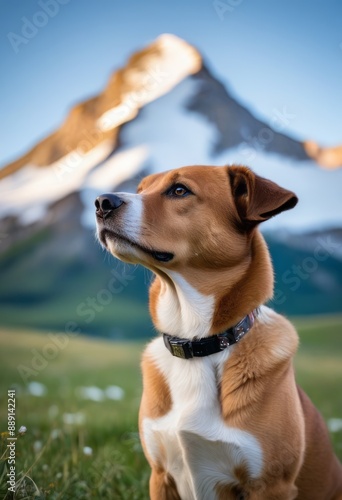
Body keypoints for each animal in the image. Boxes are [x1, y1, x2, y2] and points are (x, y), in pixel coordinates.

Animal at [94, 166, 342, 498]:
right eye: (141, 189)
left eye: (180, 190)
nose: (101, 202)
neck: (196, 341)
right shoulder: (160, 475)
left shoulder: (270, 485)